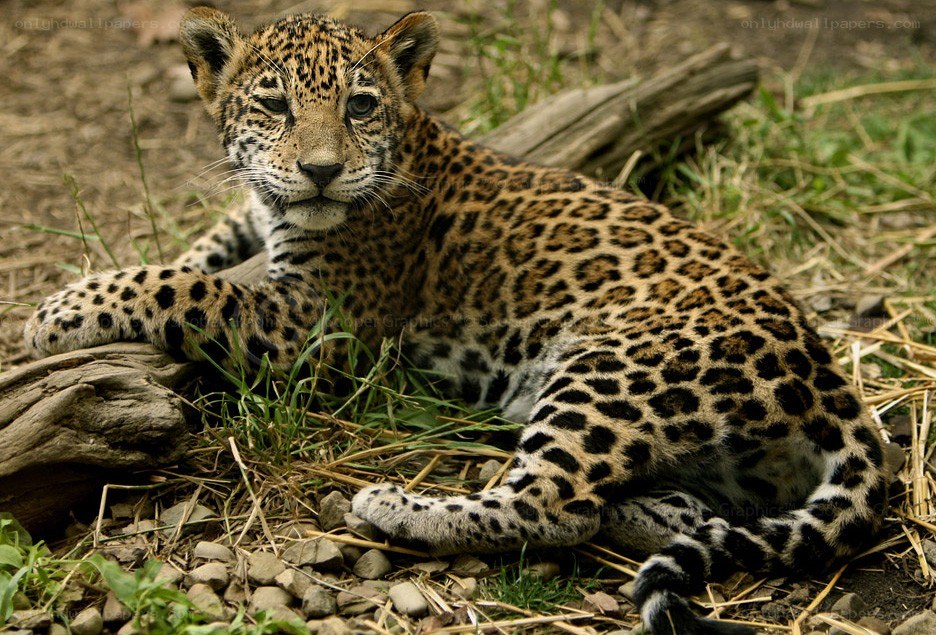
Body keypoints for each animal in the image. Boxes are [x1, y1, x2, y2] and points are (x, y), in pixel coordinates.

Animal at [24, 8, 888, 634]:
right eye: (273, 105)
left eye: (360, 106)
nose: (322, 170)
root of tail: (829, 377)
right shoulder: (263, 223)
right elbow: (209, 241)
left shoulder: (318, 324)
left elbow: (185, 286)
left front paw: (58, 311)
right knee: (678, 509)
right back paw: (644, 509)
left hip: (608, 367)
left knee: (554, 502)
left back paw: (396, 506)